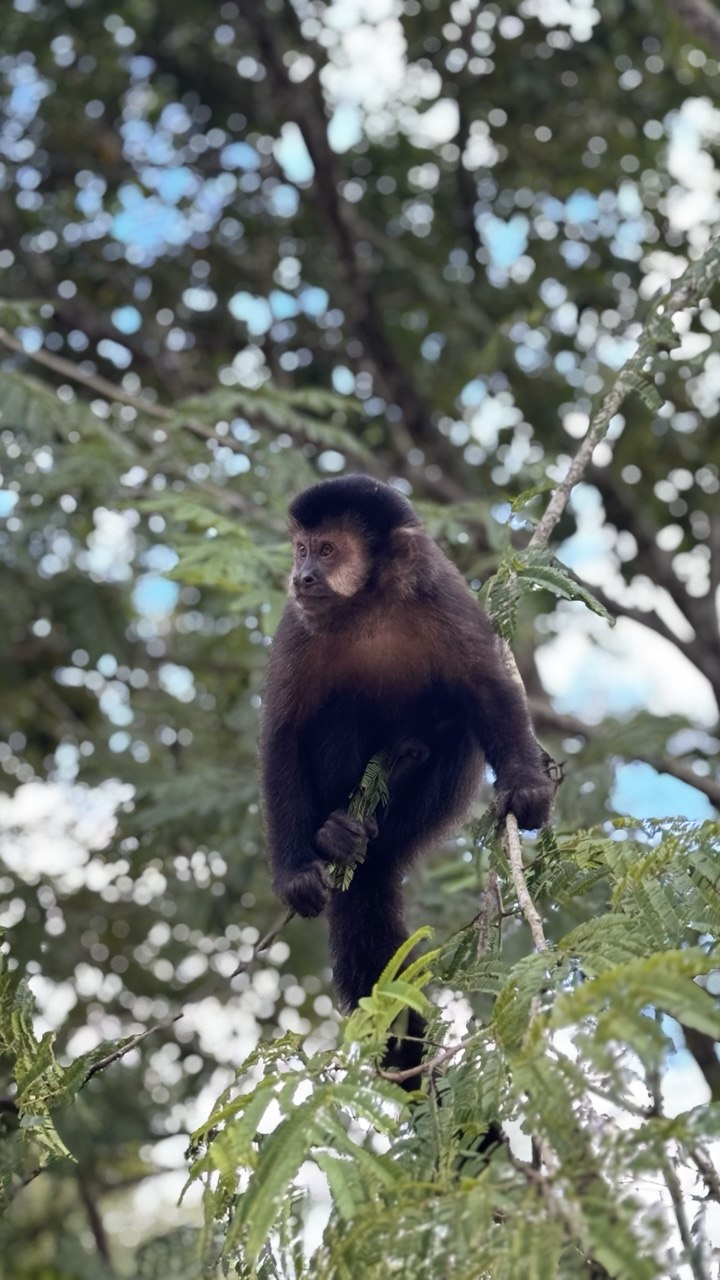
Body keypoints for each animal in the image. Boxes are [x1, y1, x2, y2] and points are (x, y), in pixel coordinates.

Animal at [260, 475, 555, 1072]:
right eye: (302, 549)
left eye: (328, 550)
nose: (303, 576)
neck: (369, 606)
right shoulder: (297, 624)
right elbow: (283, 735)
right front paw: (295, 872)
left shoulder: (440, 593)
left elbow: (486, 686)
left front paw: (527, 783)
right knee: (340, 710)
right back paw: (337, 834)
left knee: (452, 721)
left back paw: (396, 785)